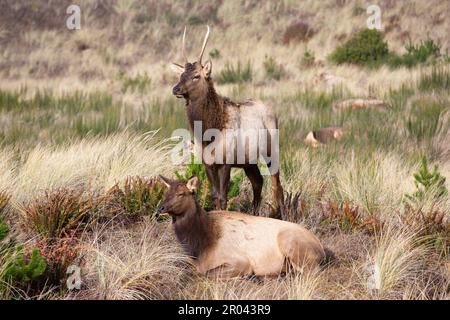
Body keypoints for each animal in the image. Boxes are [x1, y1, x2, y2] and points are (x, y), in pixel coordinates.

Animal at [158, 176, 330, 278]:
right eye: (165, 192)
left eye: (181, 194)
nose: (160, 207)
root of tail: (322, 249)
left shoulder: (240, 261)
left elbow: (207, 273)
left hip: (292, 244)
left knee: (311, 273)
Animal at [171, 26, 284, 219]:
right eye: (181, 75)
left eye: (196, 76)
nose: (176, 89)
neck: (208, 132)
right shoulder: (208, 163)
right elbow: (214, 195)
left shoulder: (226, 161)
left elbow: (223, 197)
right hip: (248, 160)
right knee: (258, 181)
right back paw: (255, 213)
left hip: (271, 148)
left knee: (277, 183)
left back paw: (281, 214)